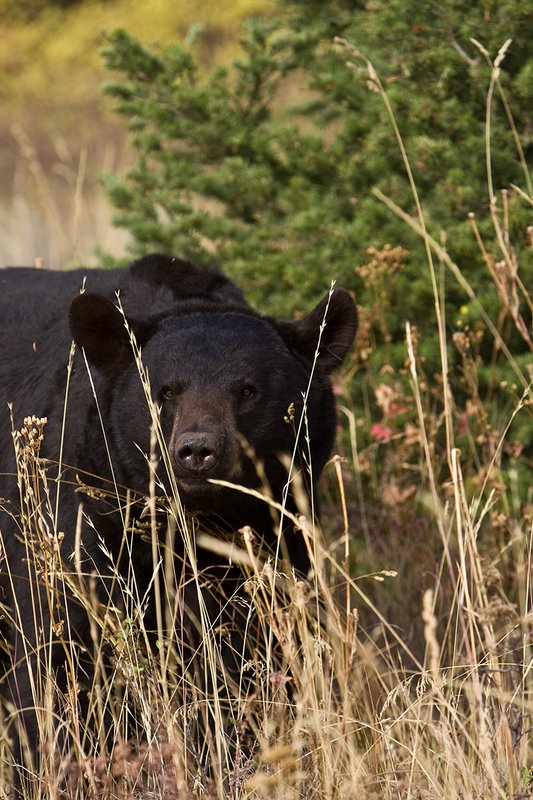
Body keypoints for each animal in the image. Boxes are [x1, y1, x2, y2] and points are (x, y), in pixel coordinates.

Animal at [0, 254, 357, 789]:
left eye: (247, 389)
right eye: (165, 390)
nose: (197, 451)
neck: (191, 522)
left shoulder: (274, 541)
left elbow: (248, 660)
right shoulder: (72, 519)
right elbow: (55, 655)